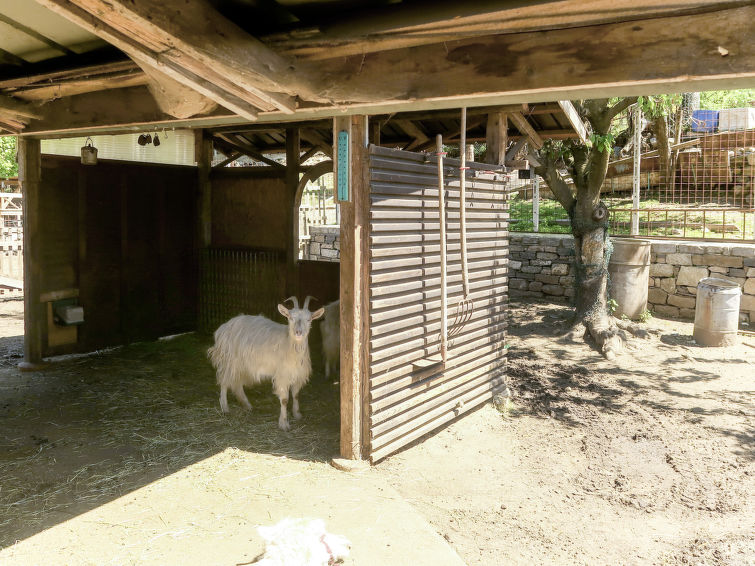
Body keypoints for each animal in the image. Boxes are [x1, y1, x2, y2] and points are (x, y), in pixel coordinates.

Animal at [208, 298, 324, 430]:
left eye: (309, 319)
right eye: (290, 318)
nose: (298, 332)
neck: (289, 344)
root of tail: (224, 327)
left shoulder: (298, 374)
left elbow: (296, 395)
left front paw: (297, 414)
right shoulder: (282, 375)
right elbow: (284, 399)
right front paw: (284, 424)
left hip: (242, 364)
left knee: (237, 383)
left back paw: (246, 405)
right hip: (230, 361)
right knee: (224, 381)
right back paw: (225, 407)